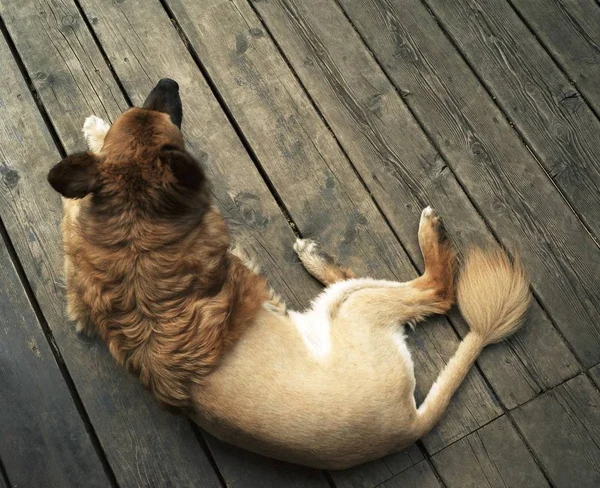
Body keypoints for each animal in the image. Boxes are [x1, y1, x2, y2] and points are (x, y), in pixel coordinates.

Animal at [47, 79, 528, 468]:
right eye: (164, 121)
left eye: (145, 113)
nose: (169, 81)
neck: (131, 230)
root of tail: (409, 425)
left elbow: (75, 207)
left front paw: (94, 136)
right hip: (357, 309)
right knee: (436, 291)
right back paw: (427, 233)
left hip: (341, 303)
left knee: (358, 280)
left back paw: (314, 257)